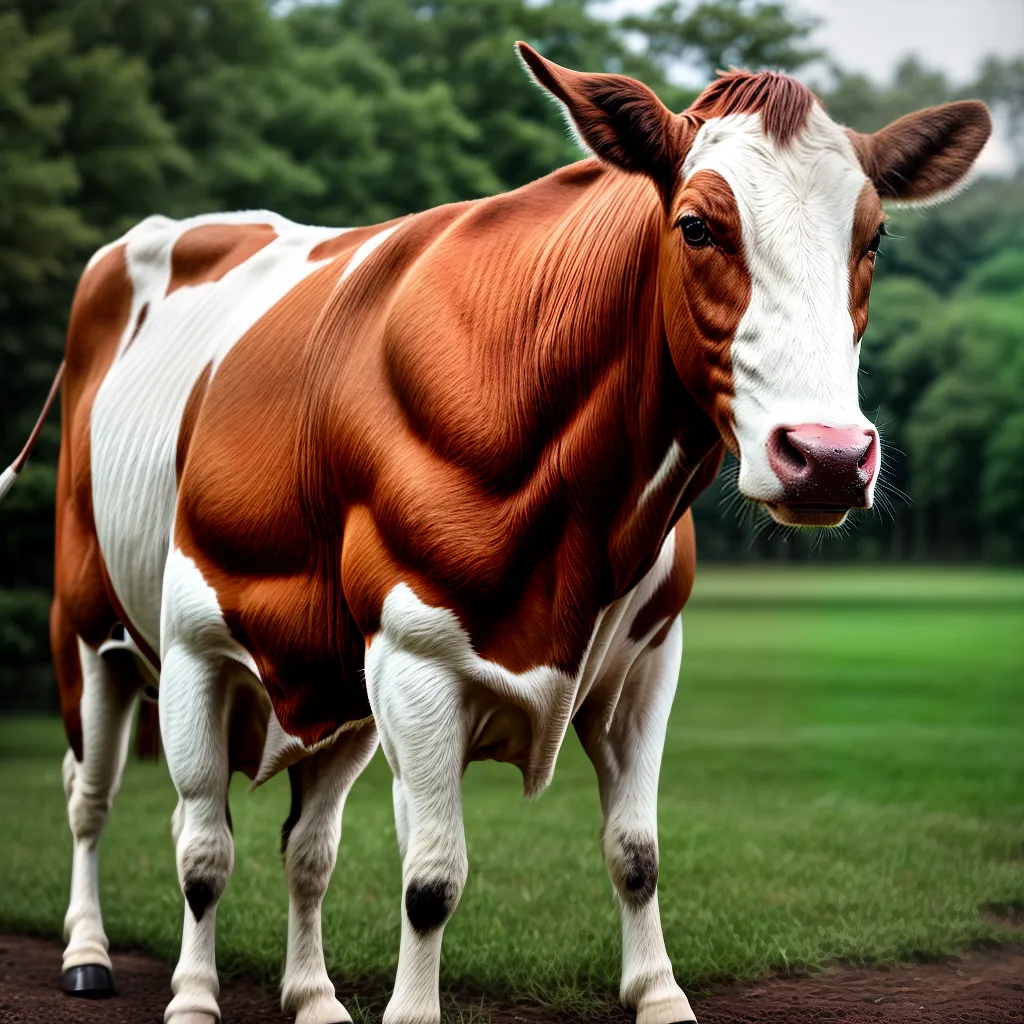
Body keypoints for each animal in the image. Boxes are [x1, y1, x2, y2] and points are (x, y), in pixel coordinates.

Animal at [0, 43, 990, 1024]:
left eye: (874, 239)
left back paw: (314, 996)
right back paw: (93, 954)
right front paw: (214, 1001)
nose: (827, 456)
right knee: (102, 799)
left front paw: (659, 994)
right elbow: (390, 874)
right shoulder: (353, 656)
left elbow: (636, 850)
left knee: (305, 846)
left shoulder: (645, 659)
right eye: (699, 227)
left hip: (334, 688)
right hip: (90, 628)